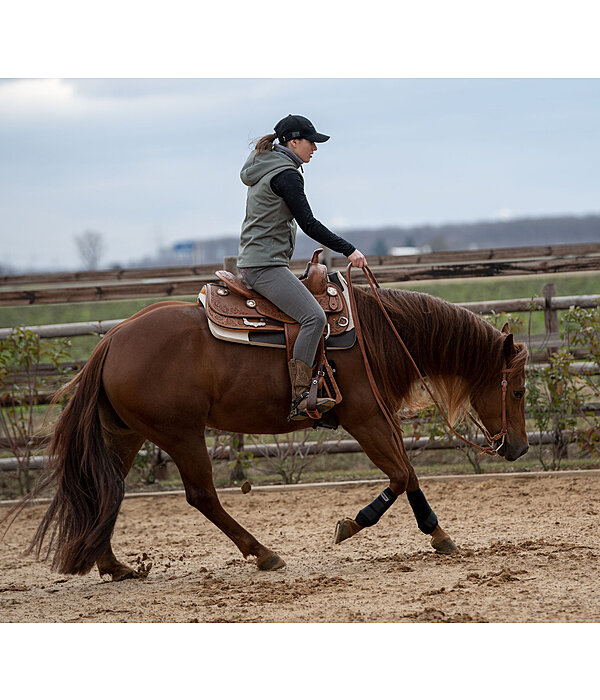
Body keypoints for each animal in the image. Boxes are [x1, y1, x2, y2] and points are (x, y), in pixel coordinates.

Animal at [15, 284, 528, 580]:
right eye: (520, 390)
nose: (519, 448)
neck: (377, 334)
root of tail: (113, 339)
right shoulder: (365, 419)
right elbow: (400, 476)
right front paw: (351, 524)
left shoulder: (380, 419)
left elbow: (410, 474)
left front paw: (438, 534)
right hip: (181, 433)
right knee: (202, 496)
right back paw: (263, 553)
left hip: (125, 434)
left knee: (108, 489)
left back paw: (115, 567)